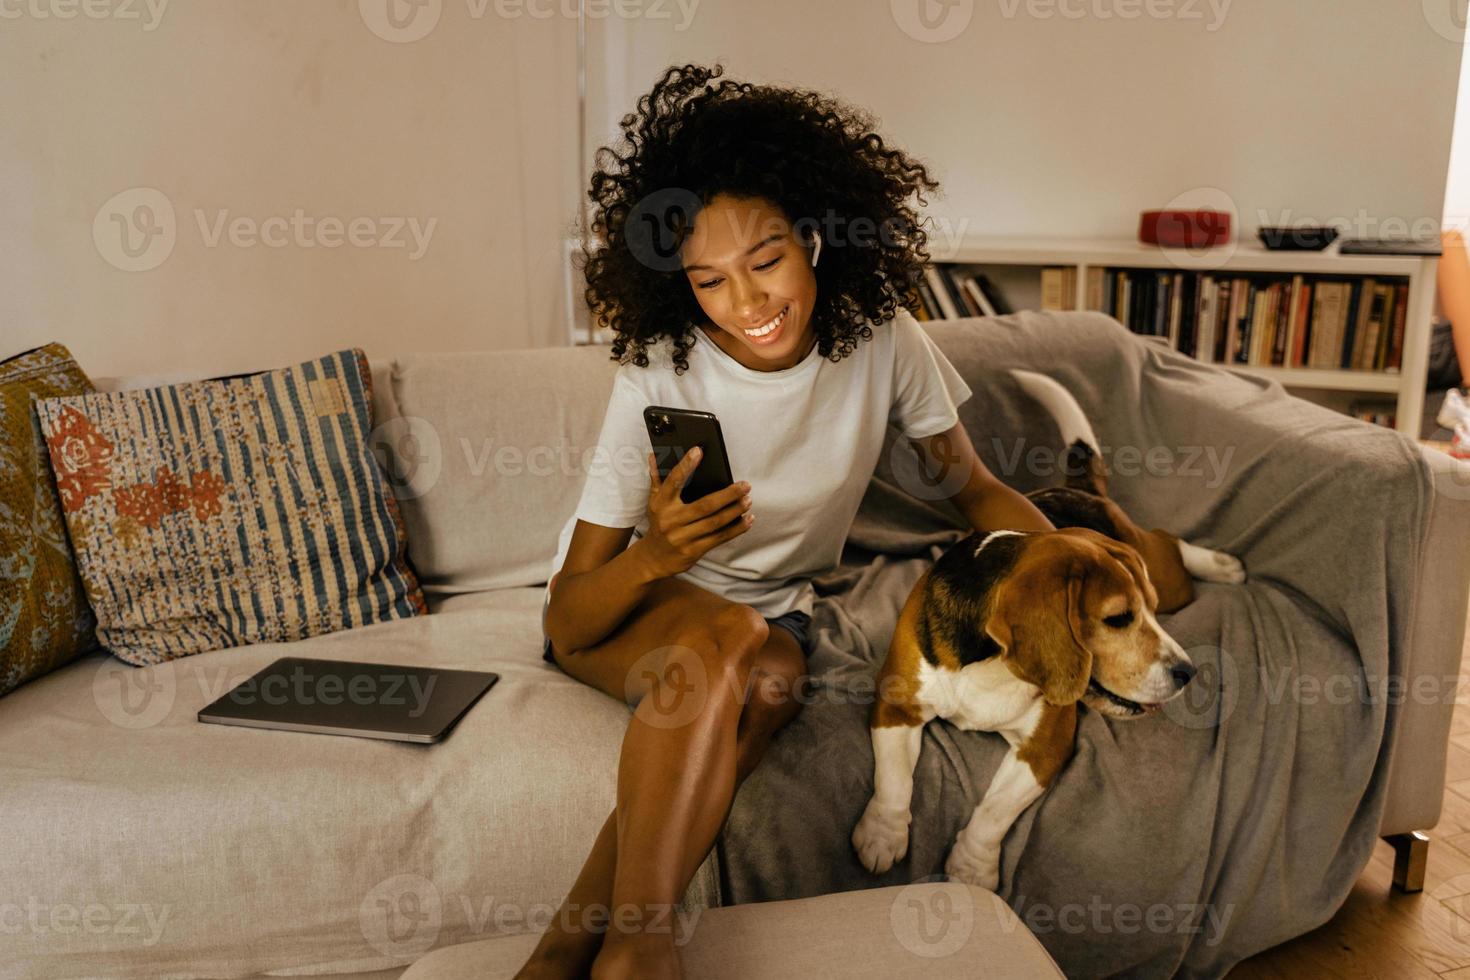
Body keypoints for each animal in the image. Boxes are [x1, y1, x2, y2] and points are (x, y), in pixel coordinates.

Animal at [852, 367, 1240, 887]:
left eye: (1151, 614)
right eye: (1118, 619)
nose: (1187, 673)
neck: (992, 668)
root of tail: (1074, 490)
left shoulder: (1047, 745)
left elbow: (994, 810)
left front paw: (971, 868)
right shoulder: (897, 703)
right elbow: (893, 777)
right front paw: (882, 833)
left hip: (1160, 569)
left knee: (1168, 542)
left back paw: (1222, 565)